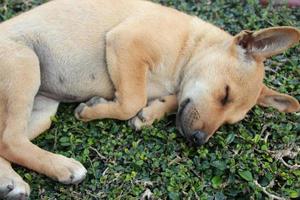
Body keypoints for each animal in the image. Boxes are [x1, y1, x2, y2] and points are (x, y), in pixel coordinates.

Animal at [0, 0, 300, 198]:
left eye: (229, 122)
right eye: (225, 95)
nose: (198, 140)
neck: (191, 45)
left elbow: (170, 99)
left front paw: (151, 113)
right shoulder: (126, 42)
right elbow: (132, 99)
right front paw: (94, 110)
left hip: (42, 110)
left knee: (5, 142)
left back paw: (12, 182)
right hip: (26, 65)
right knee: (11, 140)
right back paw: (64, 167)